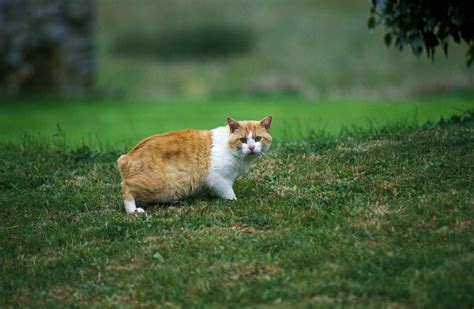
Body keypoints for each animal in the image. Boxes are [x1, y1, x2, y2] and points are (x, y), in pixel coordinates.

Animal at [118, 114, 272, 213]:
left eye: (258, 138)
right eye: (243, 140)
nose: (251, 148)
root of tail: (126, 157)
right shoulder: (217, 178)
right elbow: (229, 193)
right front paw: (234, 201)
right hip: (155, 184)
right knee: (126, 187)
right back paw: (132, 210)